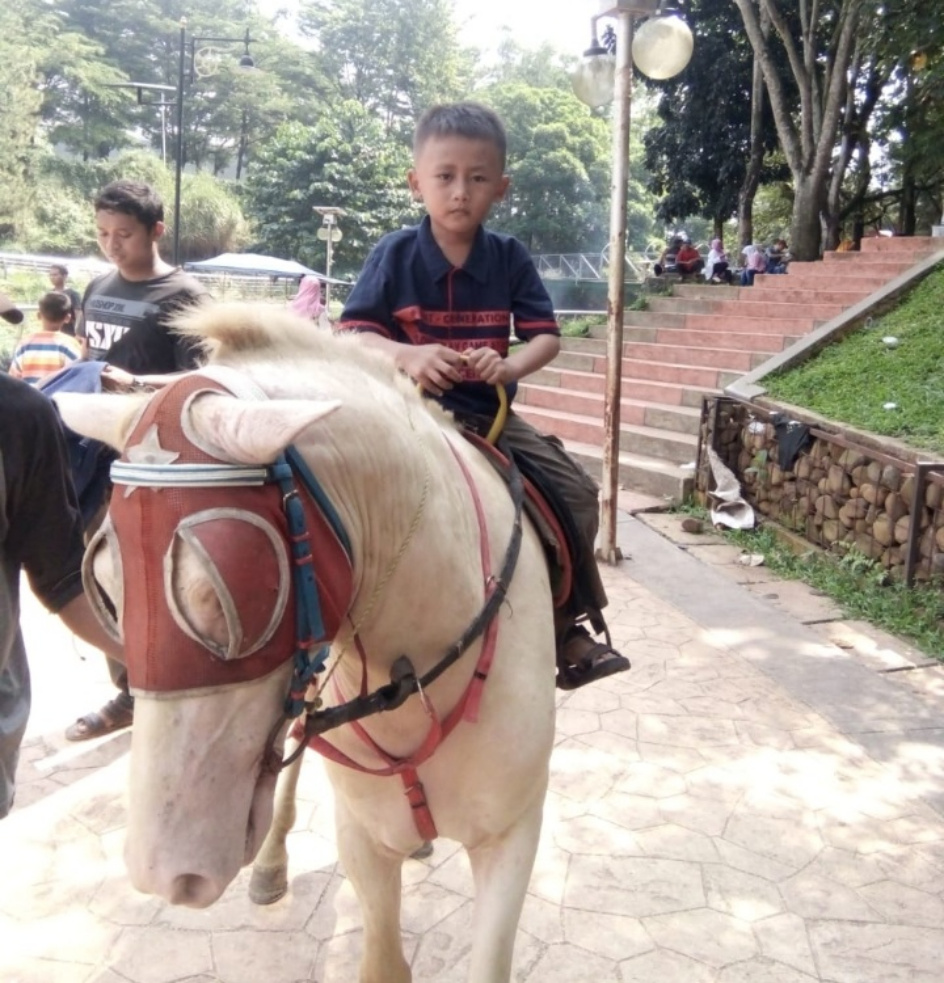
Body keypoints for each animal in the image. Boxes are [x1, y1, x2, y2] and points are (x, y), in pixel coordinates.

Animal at [55, 304, 556, 980]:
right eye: (107, 590)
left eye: (231, 594)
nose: (163, 873)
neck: (419, 668)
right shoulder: (363, 836)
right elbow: (381, 962)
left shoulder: (513, 835)